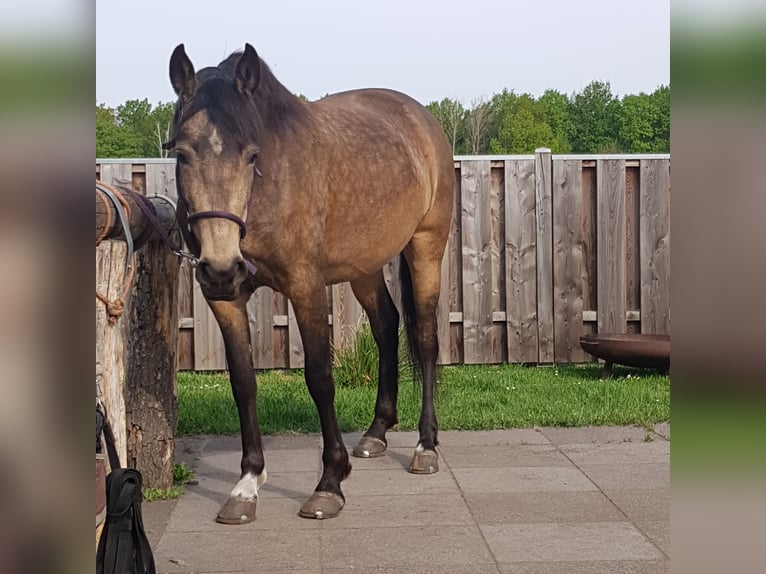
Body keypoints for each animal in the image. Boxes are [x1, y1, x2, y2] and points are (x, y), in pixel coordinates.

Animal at [166, 42, 456, 524]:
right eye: (182, 153)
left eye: (251, 155)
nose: (222, 267)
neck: (267, 193)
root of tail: (422, 120)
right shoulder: (223, 299)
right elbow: (242, 382)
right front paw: (247, 483)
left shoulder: (305, 288)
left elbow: (320, 378)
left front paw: (330, 483)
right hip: (363, 267)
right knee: (386, 326)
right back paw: (377, 432)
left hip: (426, 247)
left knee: (426, 337)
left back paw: (426, 446)